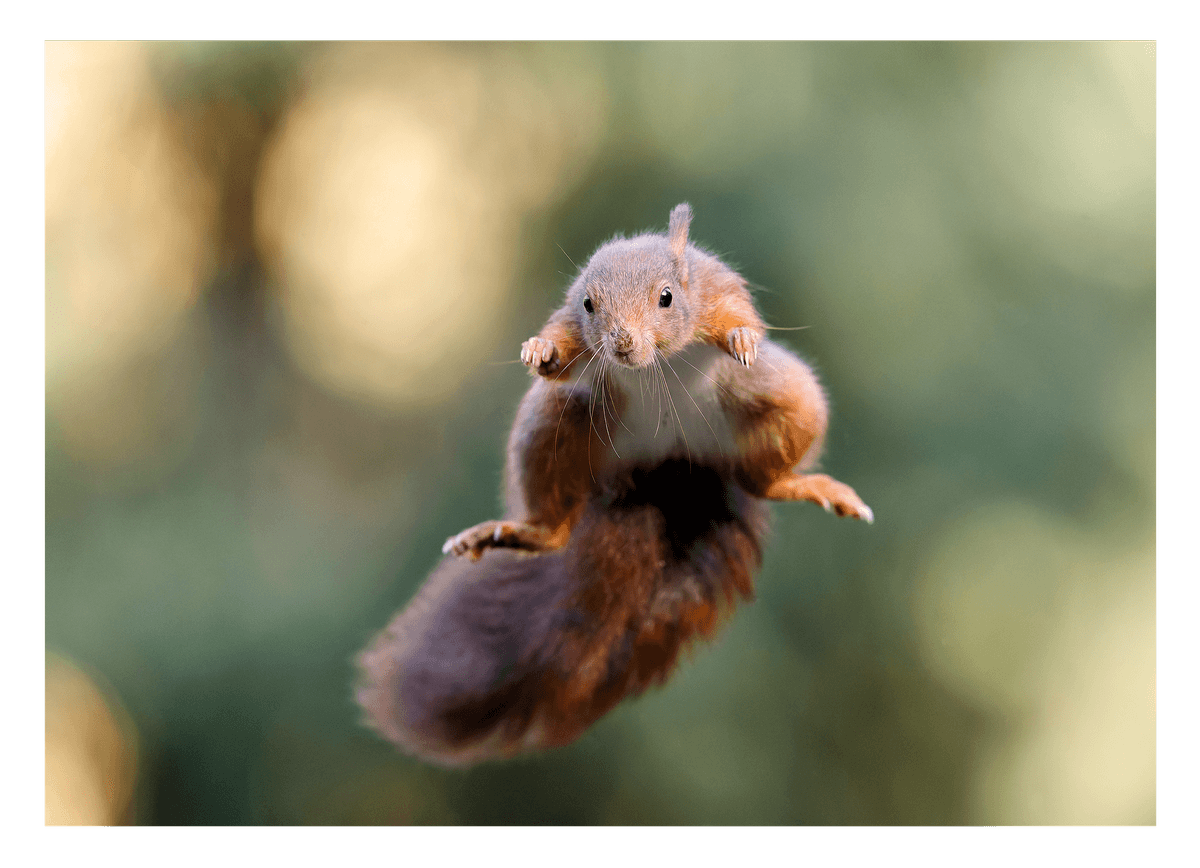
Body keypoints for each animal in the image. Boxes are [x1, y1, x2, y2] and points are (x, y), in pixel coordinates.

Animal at [356, 203, 872, 768]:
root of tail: (670, 466)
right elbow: (559, 344)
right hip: (552, 424)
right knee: (556, 527)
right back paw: (522, 531)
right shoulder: (571, 327)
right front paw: (538, 349)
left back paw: (801, 484)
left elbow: (740, 312)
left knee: (764, 480)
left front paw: (741, 338)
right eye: (588, 303)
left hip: (786, 399)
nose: (623, 345)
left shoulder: (715, 287)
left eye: (666, 297)